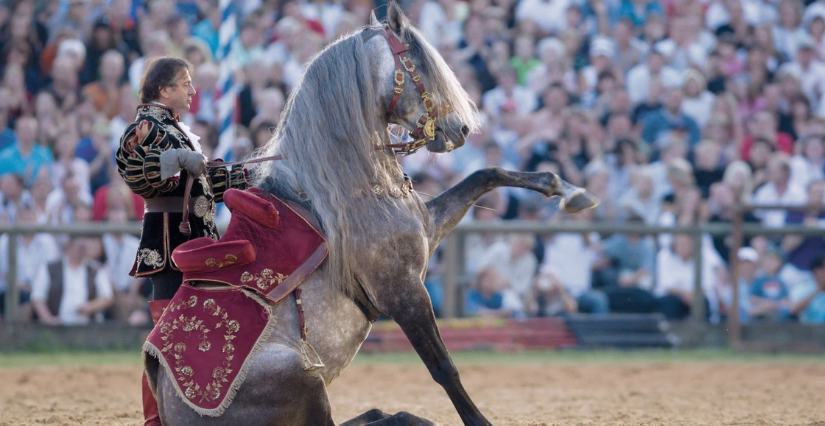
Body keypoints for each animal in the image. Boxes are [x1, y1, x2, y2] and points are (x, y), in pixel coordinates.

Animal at [149, 3, 597, 425]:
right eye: (417, 60)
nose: (460, 129)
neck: (342, 192)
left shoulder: (428, 230)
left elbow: (487, 174)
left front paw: (568, 190)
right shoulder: (403, 291)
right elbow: (443, 367)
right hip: (301, 372)